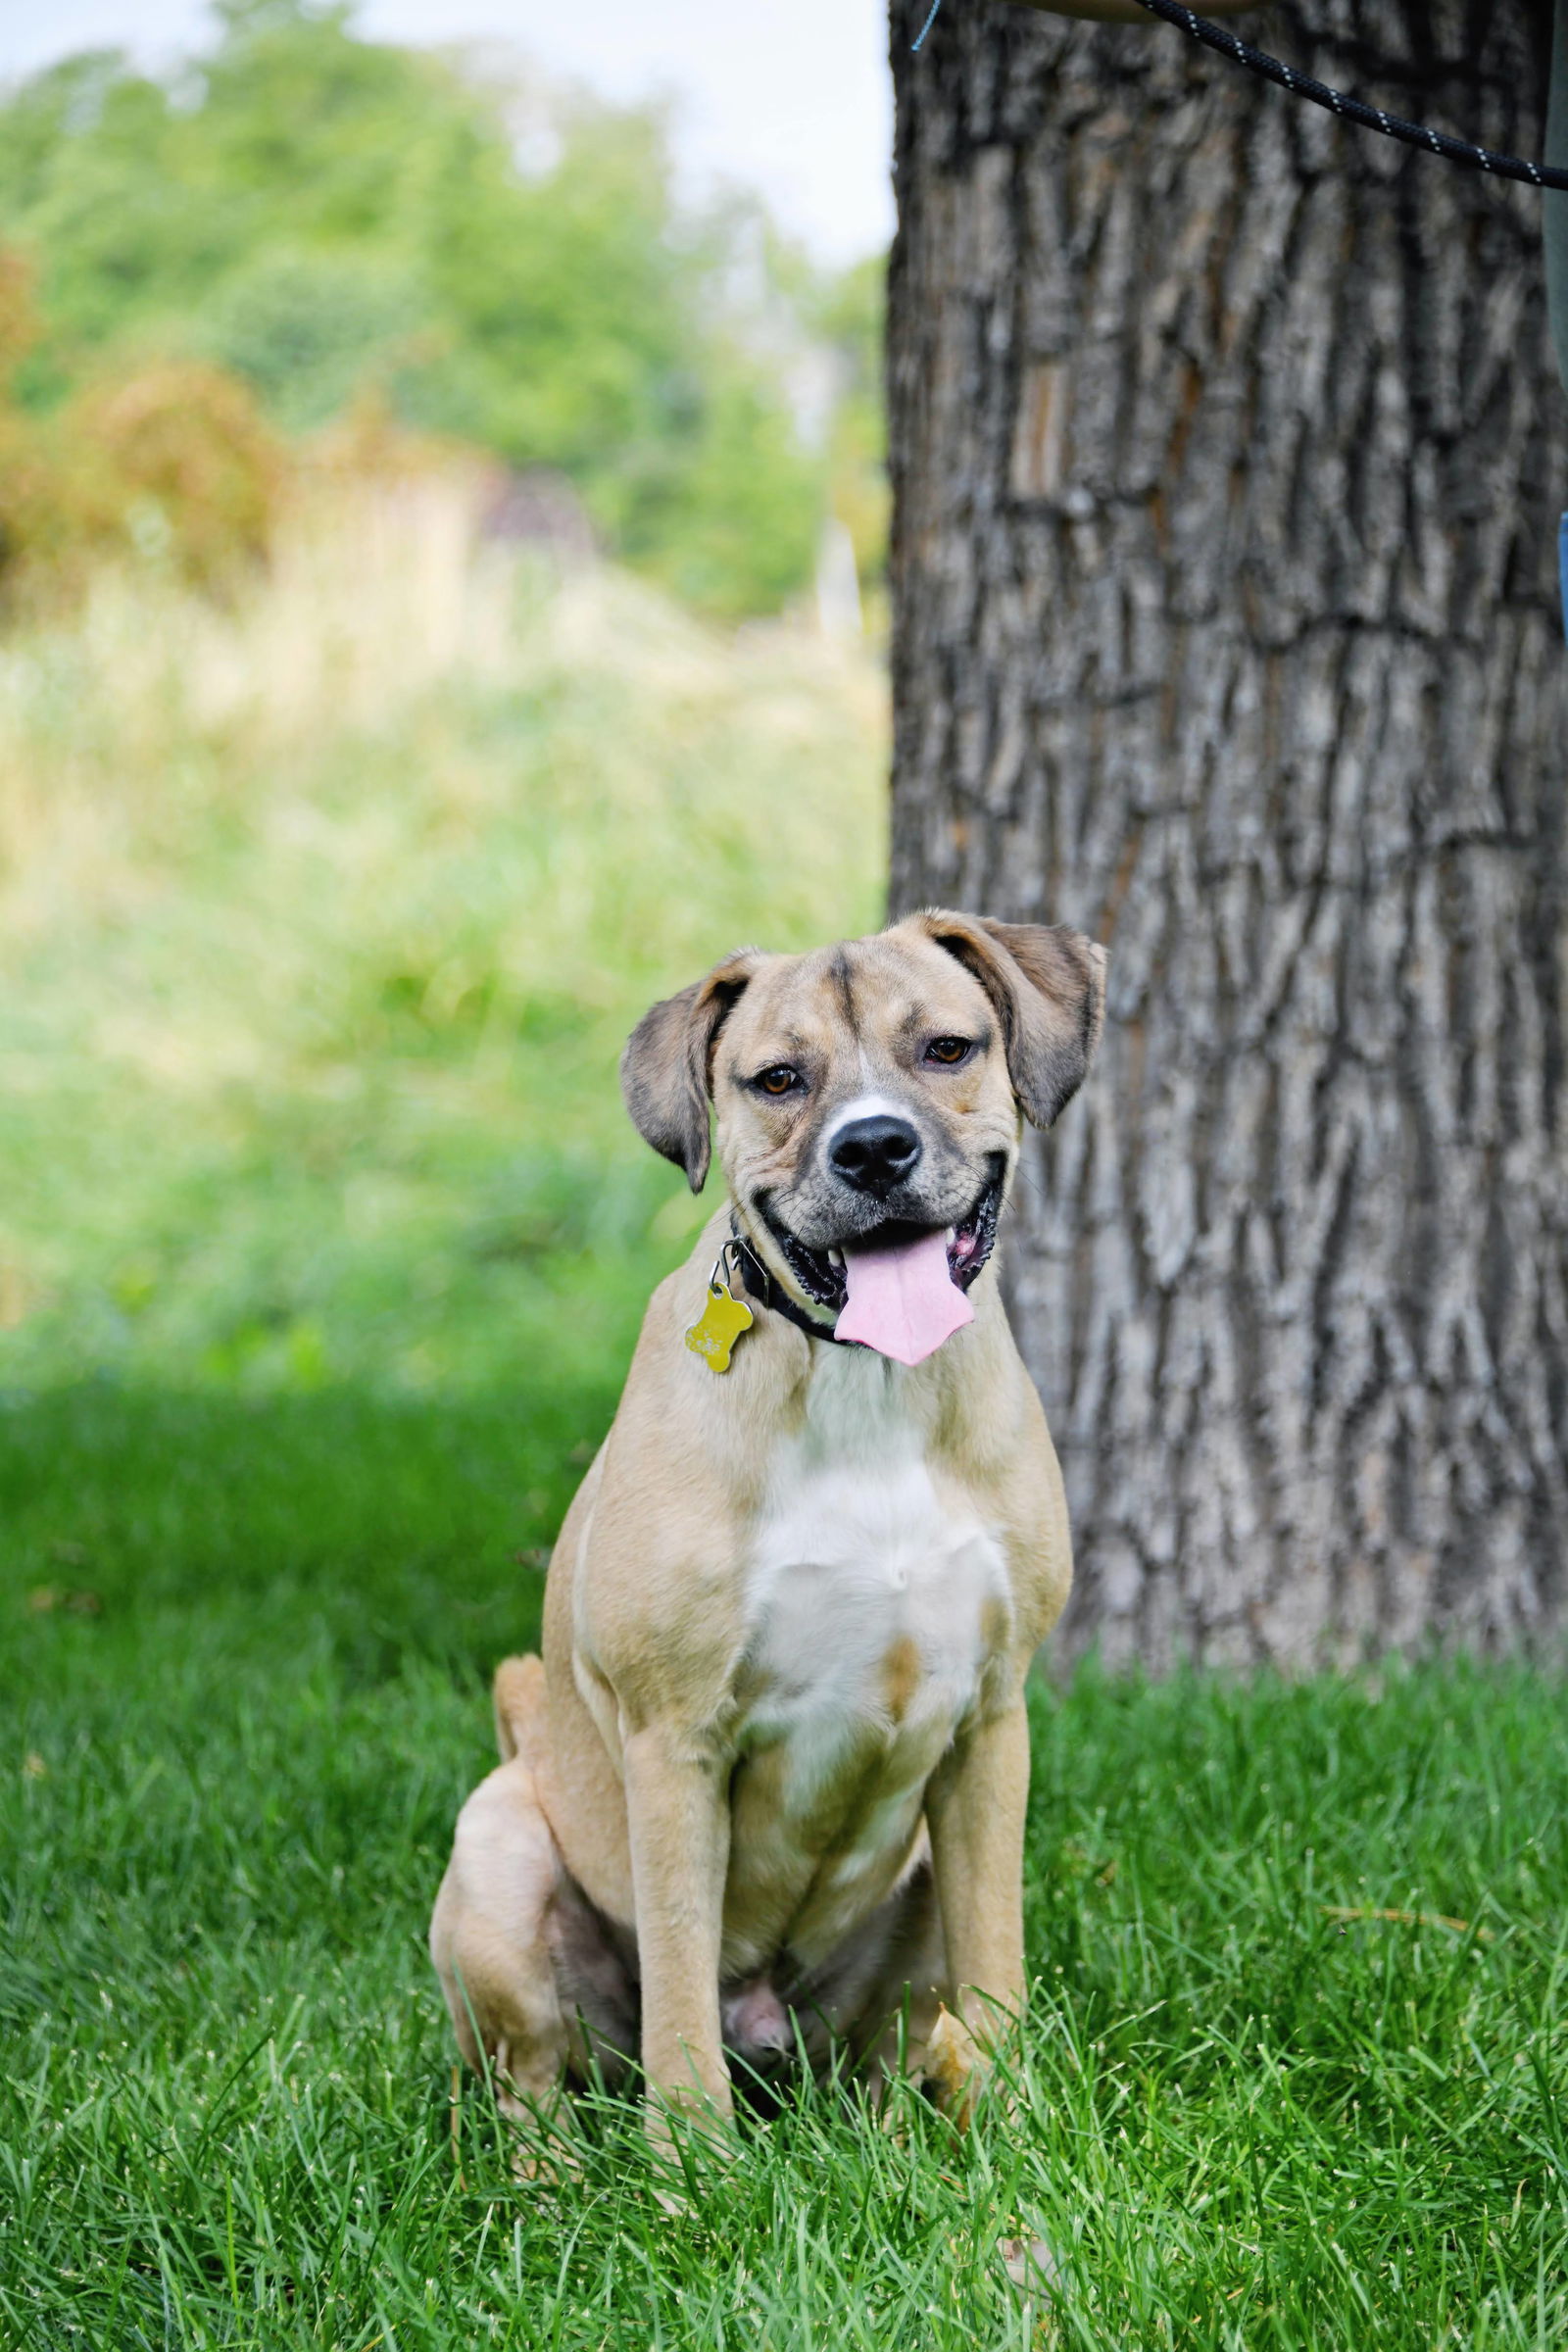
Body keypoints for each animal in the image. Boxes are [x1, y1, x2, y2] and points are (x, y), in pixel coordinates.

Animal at [432, 907, 1104, 2144]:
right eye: (778, 1080)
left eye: (946, 1048)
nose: (874, 1149)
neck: (865, 1384)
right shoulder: (675, 1742)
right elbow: (679, 2002)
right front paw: (690, 2174)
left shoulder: (990, 1725)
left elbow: (997, 1968)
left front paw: (1014, 2136)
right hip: (499, 1851)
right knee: (534, 2090)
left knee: (904, 2053)